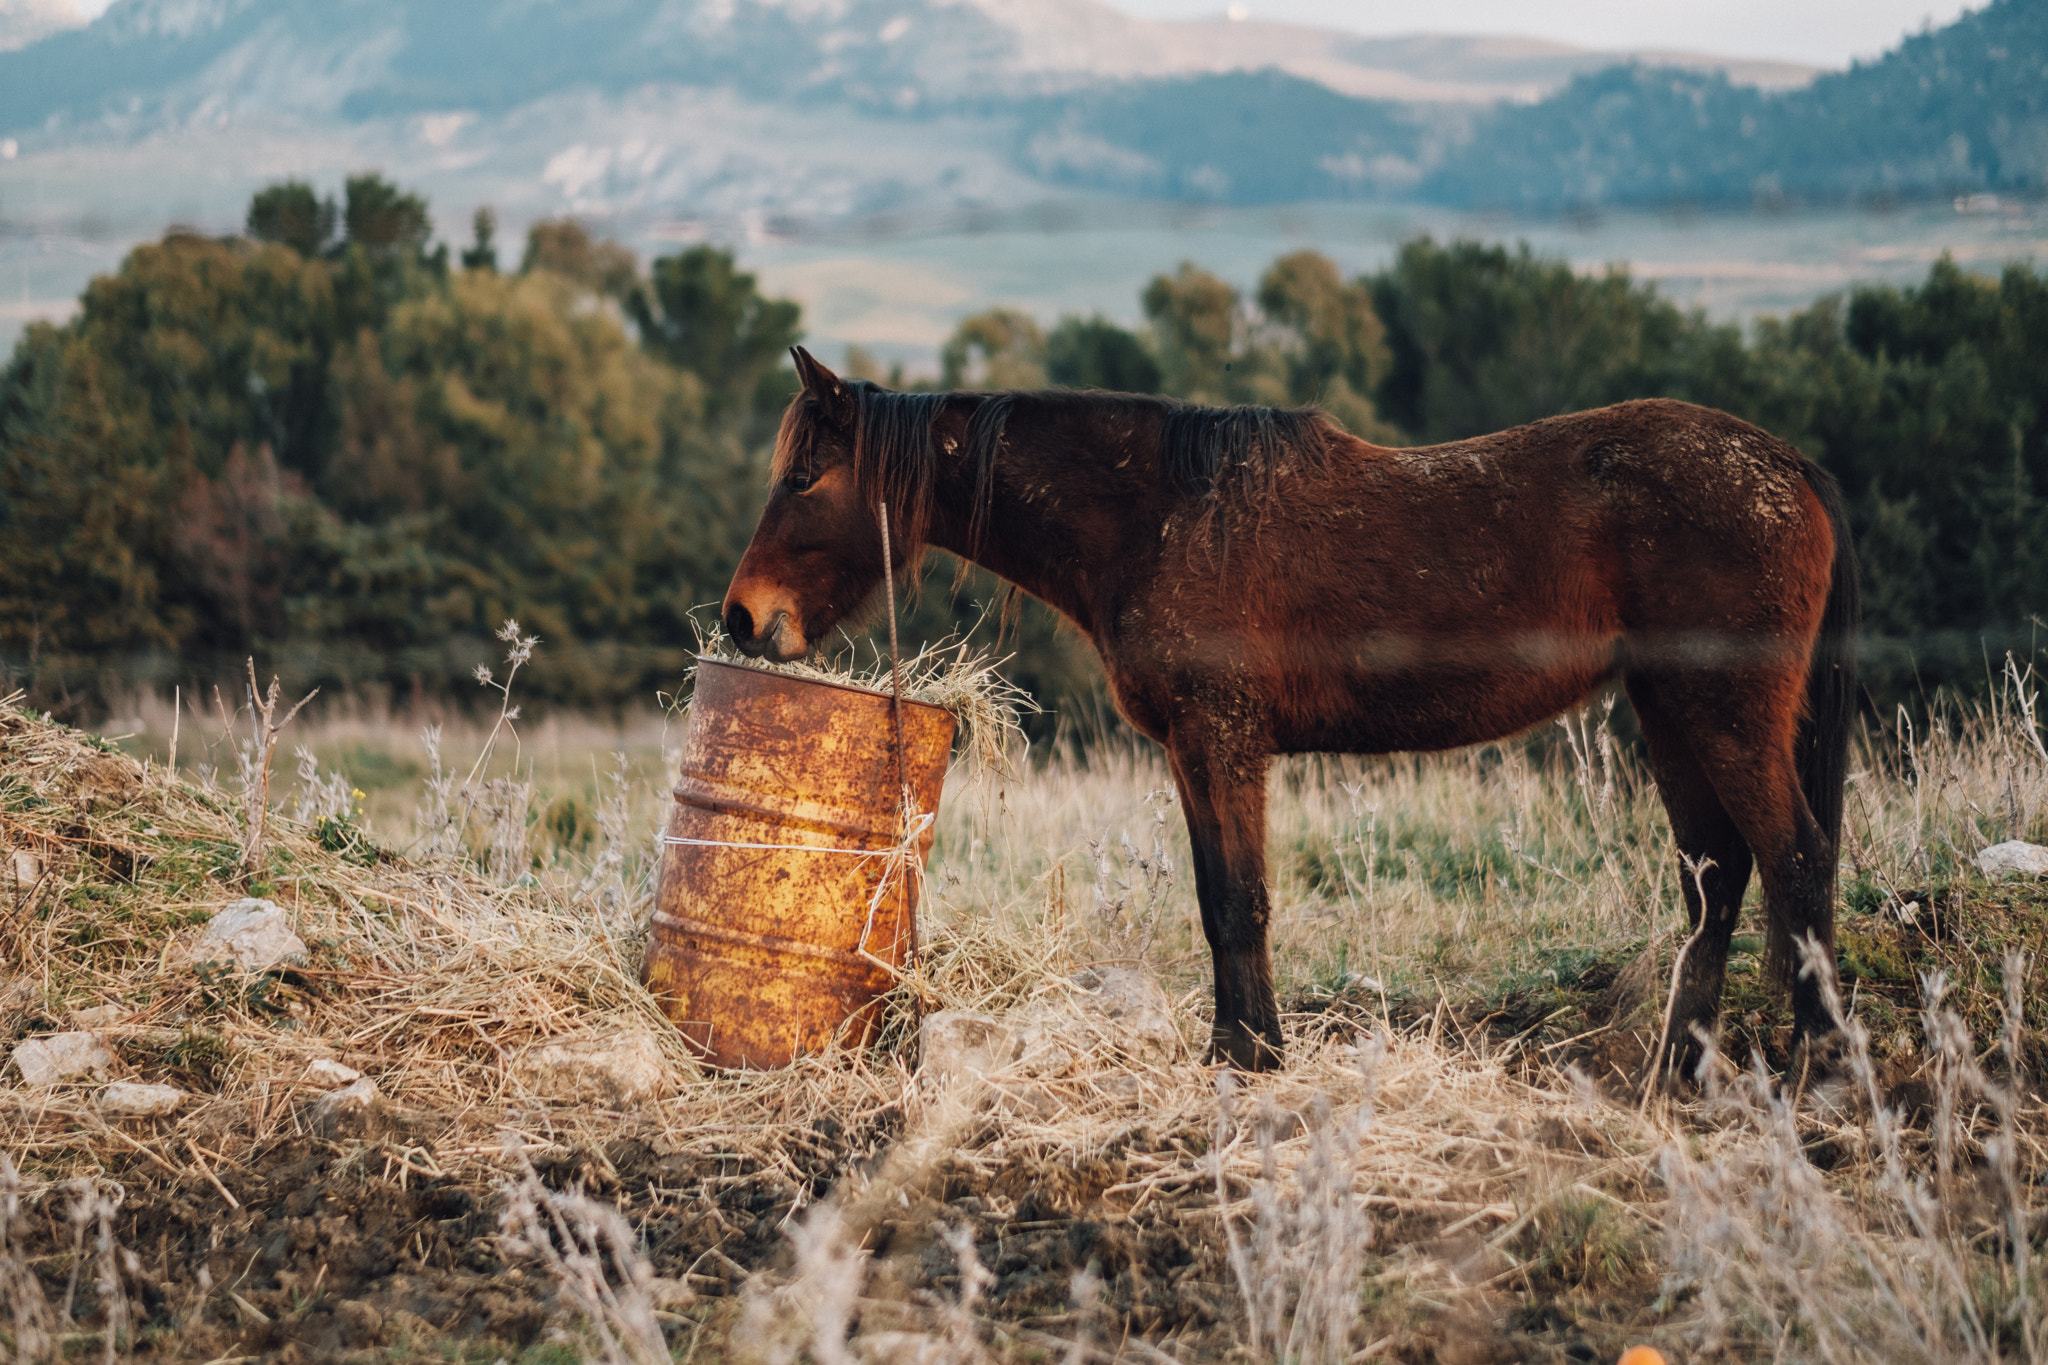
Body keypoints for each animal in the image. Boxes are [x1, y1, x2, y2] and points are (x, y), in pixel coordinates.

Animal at [720, 351, 1859, 1080]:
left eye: (805, 475)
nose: (743, 616)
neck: (1155, 515)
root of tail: (1790, 466)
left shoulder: (1222, 738)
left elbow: (1240, 900)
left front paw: (1252, 1057)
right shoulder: (1193, 749)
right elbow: (1215, 897)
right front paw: (1236, 1049)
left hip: (1723, 713)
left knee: (1794, 857)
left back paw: (1820, 1062)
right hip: (1671, 711)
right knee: (1717, 881)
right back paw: (1678, 1069)